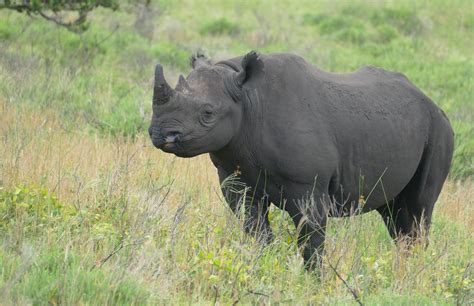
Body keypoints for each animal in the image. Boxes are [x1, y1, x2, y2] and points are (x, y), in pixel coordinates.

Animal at [148, 51, 456, 268]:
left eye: (208, 114)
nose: (161, 133)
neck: (247, 100)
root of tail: (434, 103)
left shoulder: (308, 186)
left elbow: (311, 239)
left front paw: (314, 282)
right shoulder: (234, 176)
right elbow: (254, 227)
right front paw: (263, 266)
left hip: (439, 129)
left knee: (418, 209)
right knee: (395, 215)